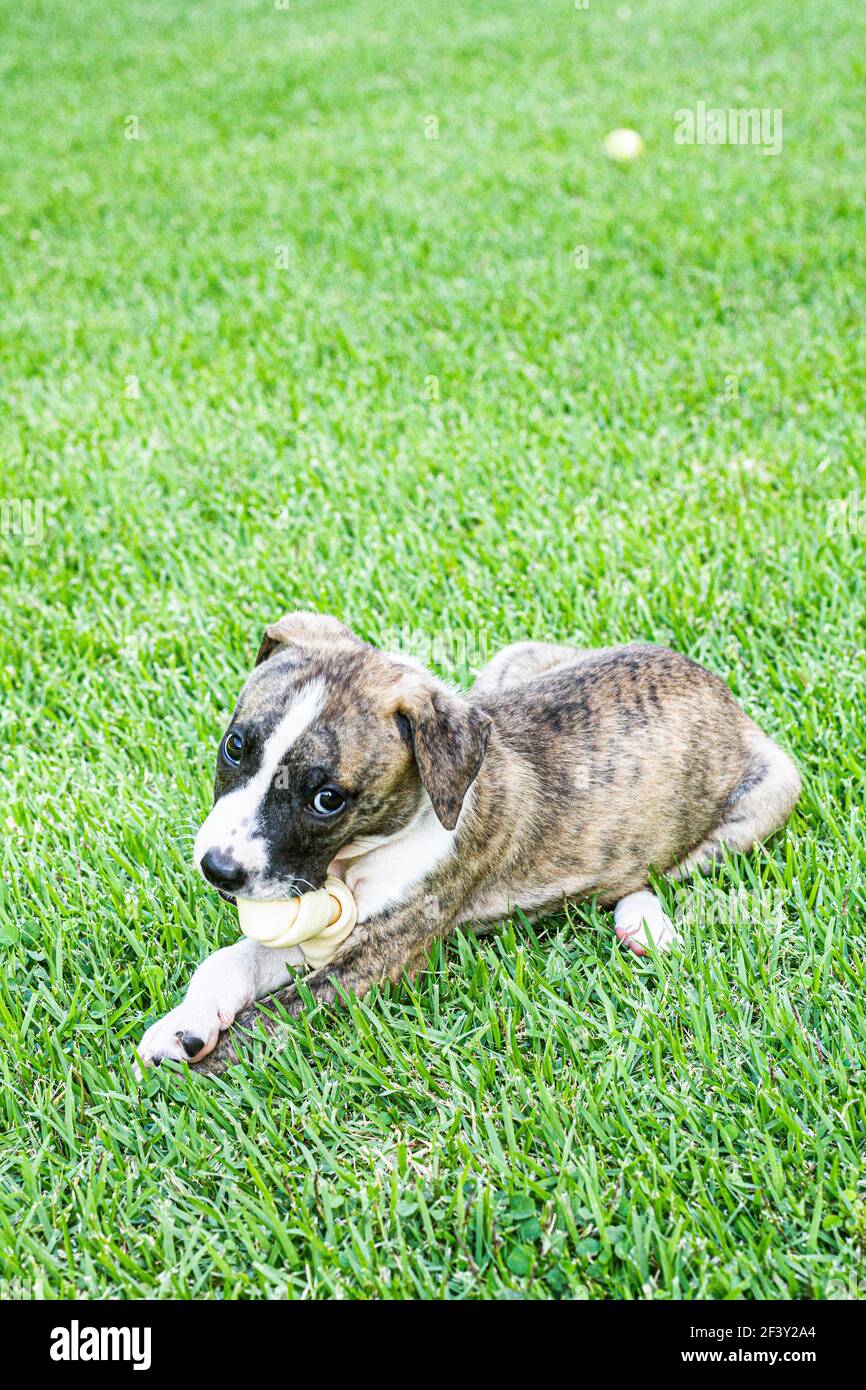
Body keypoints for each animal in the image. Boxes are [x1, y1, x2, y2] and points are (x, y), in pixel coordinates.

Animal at [132, 614, 800, 1078]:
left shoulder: (373, 960)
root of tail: (722, 692)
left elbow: (266, 1020)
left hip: (769, 799)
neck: (359, 856)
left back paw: (643, 924)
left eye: (327, 800)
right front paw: (184, 1026)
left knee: (660, 875)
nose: (218, 870)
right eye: (235, 746)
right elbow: (232, 959)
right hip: (515, 659)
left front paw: (191, 1078)